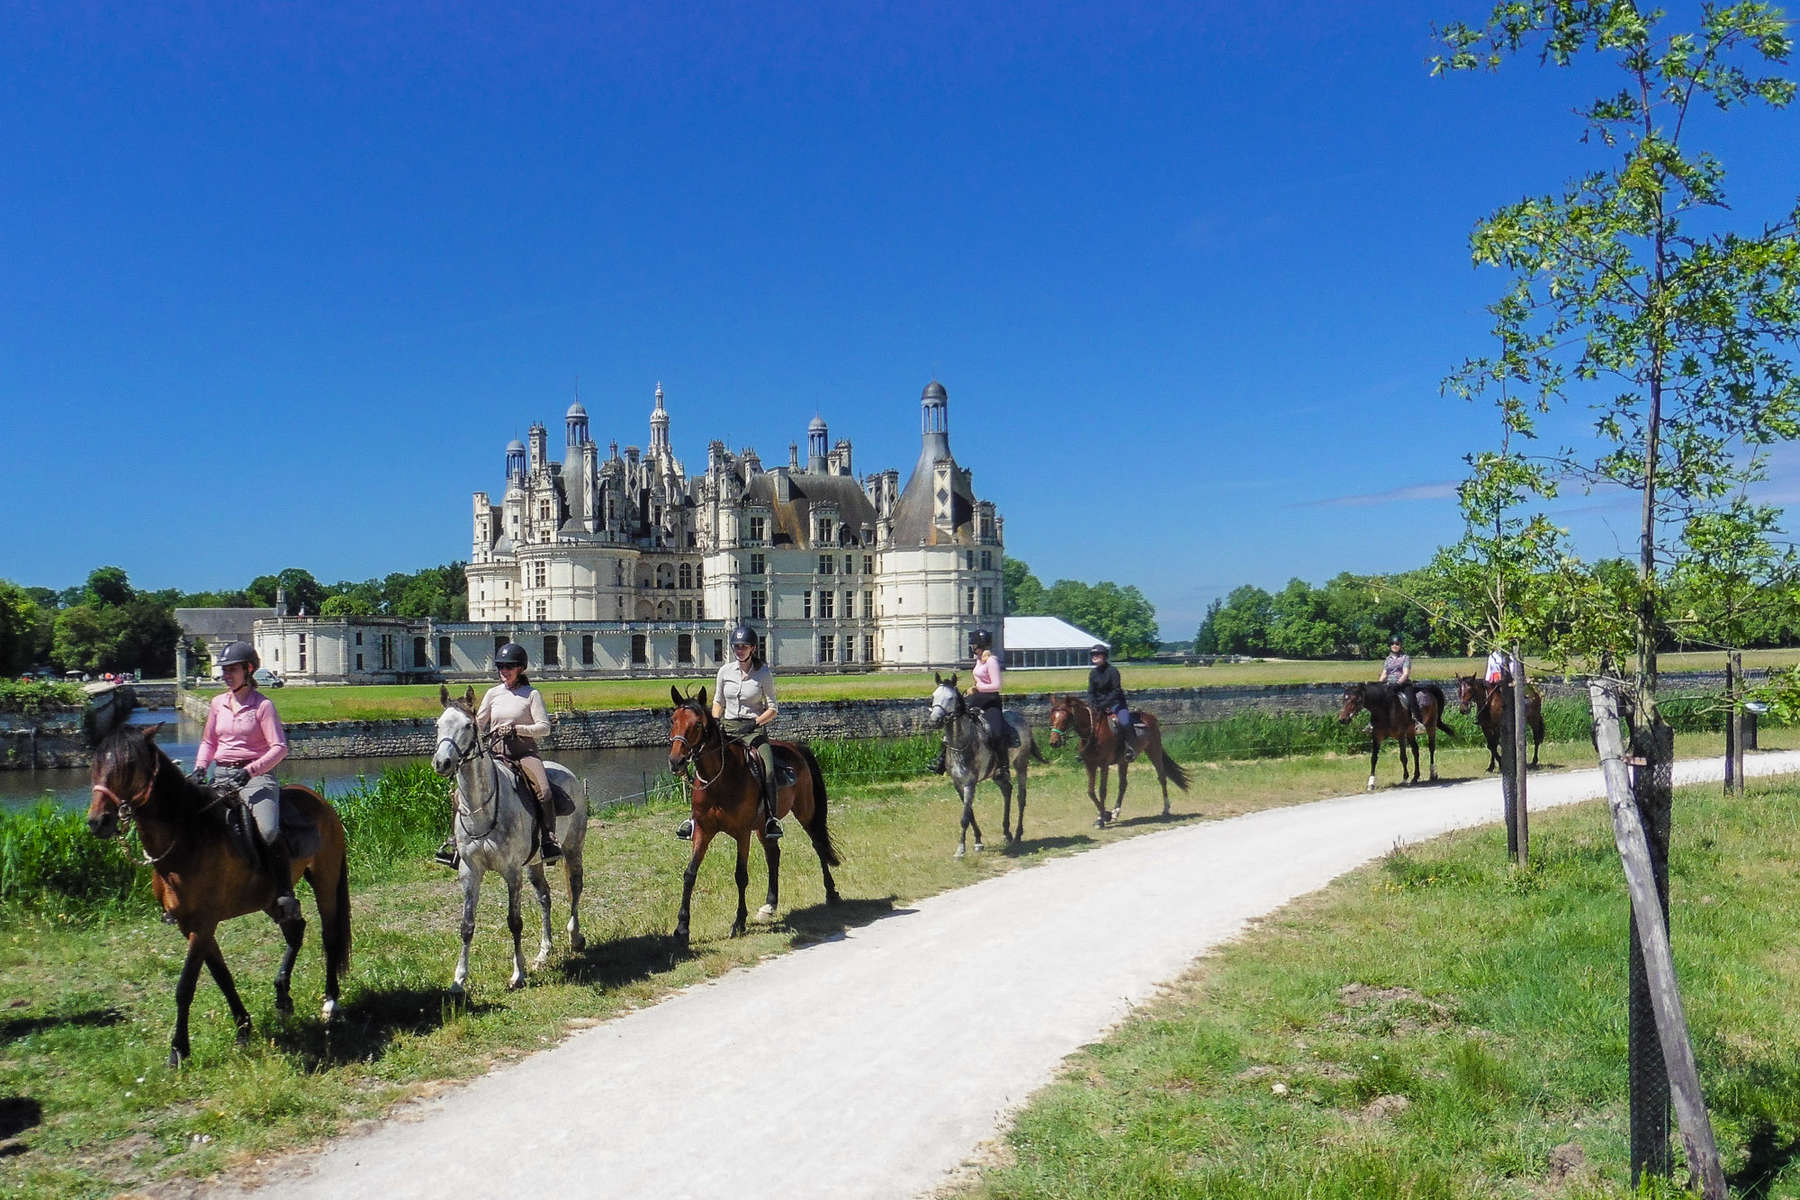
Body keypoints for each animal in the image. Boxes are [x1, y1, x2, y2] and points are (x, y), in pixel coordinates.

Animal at [85, 723, 351, 1072]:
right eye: (94, 763)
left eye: (129, 764)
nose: (97, 822)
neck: (188, 838)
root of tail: (319, 800)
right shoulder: (191, 926)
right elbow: (222, 976)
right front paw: (243, 1028)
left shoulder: (202, 925)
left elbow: (185, 986)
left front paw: (178, 1050)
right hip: (271, 900)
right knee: (296, 930)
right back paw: (282, 997)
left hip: (325, 881)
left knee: (329, 936)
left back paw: (330, 1002)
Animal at [426, 690, 583, 1000]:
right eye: (438, 724)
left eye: (468, 725)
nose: (442, 763)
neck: (483, 809)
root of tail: (564, 770)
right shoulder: (470, 873)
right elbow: (466, 925)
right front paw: (459, 980)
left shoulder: (512, 872)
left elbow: (515, 921)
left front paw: (517, 975)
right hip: (535, 863)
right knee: (545, 898)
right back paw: (544, 953)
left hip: (573, 850)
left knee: (576, 887)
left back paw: (575, 936)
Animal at [669, 683, 842, 949]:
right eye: (673, 720)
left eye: (697, 724)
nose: (675, 761)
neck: (720, 779)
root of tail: (795, 747)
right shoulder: (703, 831)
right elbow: (689, 874)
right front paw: (682, 927)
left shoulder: (742, 834)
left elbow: (740, 875)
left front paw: (739, 922)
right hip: (764, 826)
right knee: (773, 855)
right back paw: (769, 905)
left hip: (805, 813)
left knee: (818, 845)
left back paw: (831, 893)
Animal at [928, 672, 1044, 859]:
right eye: (933, 696)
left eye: (951, 698)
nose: (934, 721)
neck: (962, 744)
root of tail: (1021, 719)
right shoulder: (958, 784)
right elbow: (970, 814)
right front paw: (978, 841)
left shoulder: (970, 784)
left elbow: (964, 817)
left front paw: (960, 849)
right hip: (997, 774)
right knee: (1007, 791)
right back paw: (1006, 833)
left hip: (1021, 764)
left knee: (1021, 797)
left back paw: (1017, 834)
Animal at [1051, 694, 1188, 827]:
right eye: (1051, 718)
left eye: (1065, 718)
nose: (1054, 742)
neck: (1094, 732)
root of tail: (1150, 717)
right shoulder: (1090, 765)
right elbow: (1091, 791)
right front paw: (1105, 815)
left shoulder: (1104, 765)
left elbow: (1102, 790)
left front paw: (1102, 818)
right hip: (1123, 761)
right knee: (1123, 784)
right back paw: (1115, 812)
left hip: (1154, 751)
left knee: (1162, 778)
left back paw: (1166, 808)